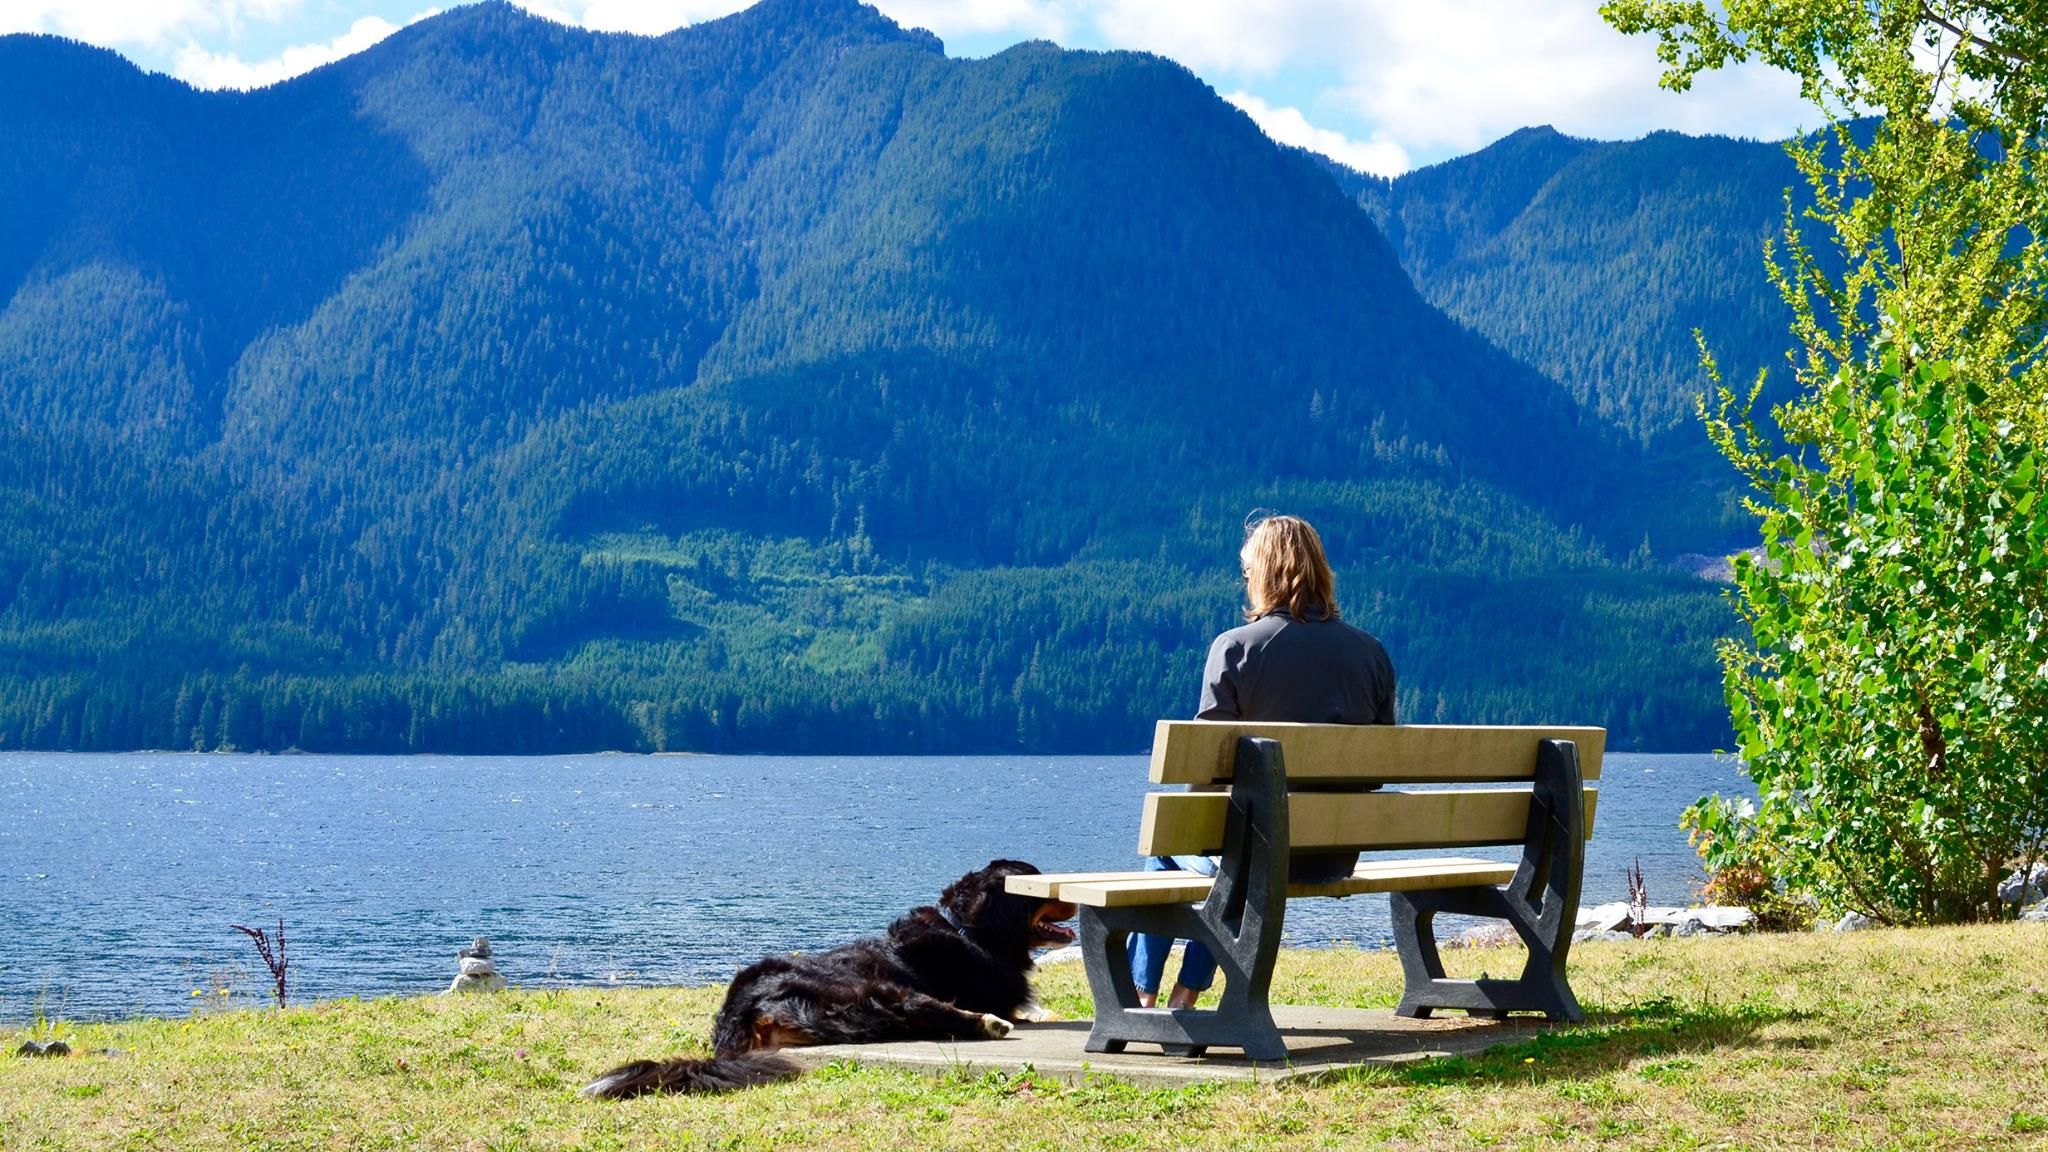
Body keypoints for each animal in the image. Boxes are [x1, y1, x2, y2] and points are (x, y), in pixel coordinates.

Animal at [585, 852, 1081, 1090]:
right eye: (1040, 885)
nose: (1075, 896)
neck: (971, 930)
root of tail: (740, 1009)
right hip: (874, 988)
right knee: (926, 1013)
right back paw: (988, 1024)